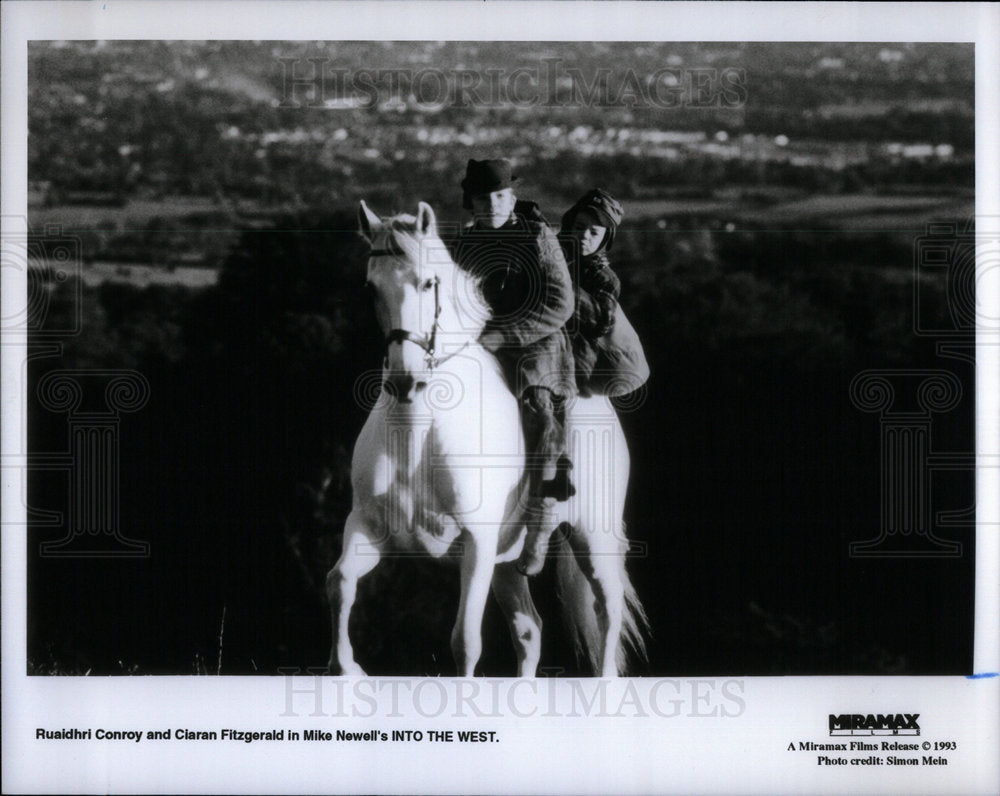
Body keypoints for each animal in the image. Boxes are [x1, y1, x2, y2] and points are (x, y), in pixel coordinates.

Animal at [324, 201, 644, 676]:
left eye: (429, 283)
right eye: (371, 288)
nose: (404, 381)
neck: (419, 435)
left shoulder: (476, 542)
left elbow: (465, 641)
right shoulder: (368, 526)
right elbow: (340, 582)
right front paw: (347, 667)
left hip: (593, 537)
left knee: (609, 610)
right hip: (509, 561)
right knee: (530, 630)